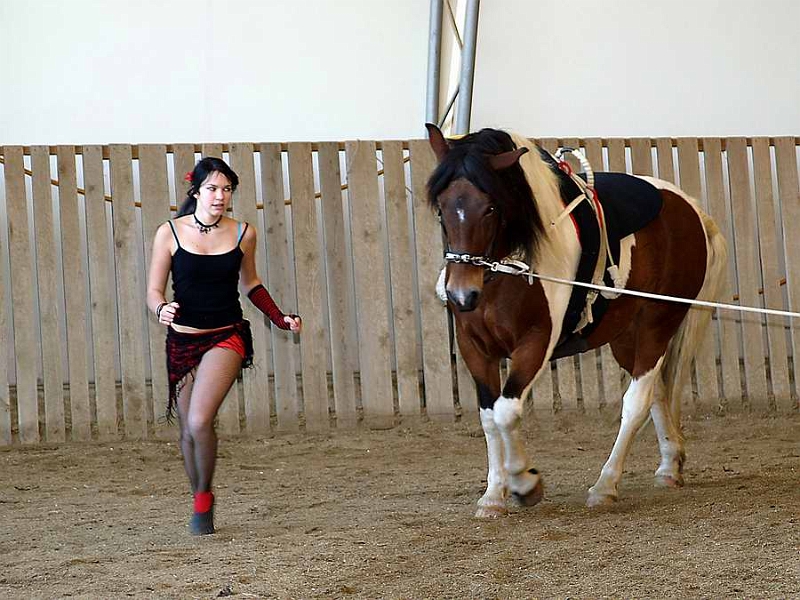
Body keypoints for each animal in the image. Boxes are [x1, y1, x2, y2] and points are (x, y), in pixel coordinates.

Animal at [425, 123, 727, 517]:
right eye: (443, 210)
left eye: (491, 207)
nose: (462, 294)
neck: (506, 271)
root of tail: (692, 209)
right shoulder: (475, 348)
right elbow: (489, 416)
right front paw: (493, 496)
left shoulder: (536, 342)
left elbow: (506, 411)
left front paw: (525, 483)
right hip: (625, 336)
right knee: (658, 391)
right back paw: (668, 467)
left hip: (657, 324)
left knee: (637, 400)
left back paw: (605, 485)